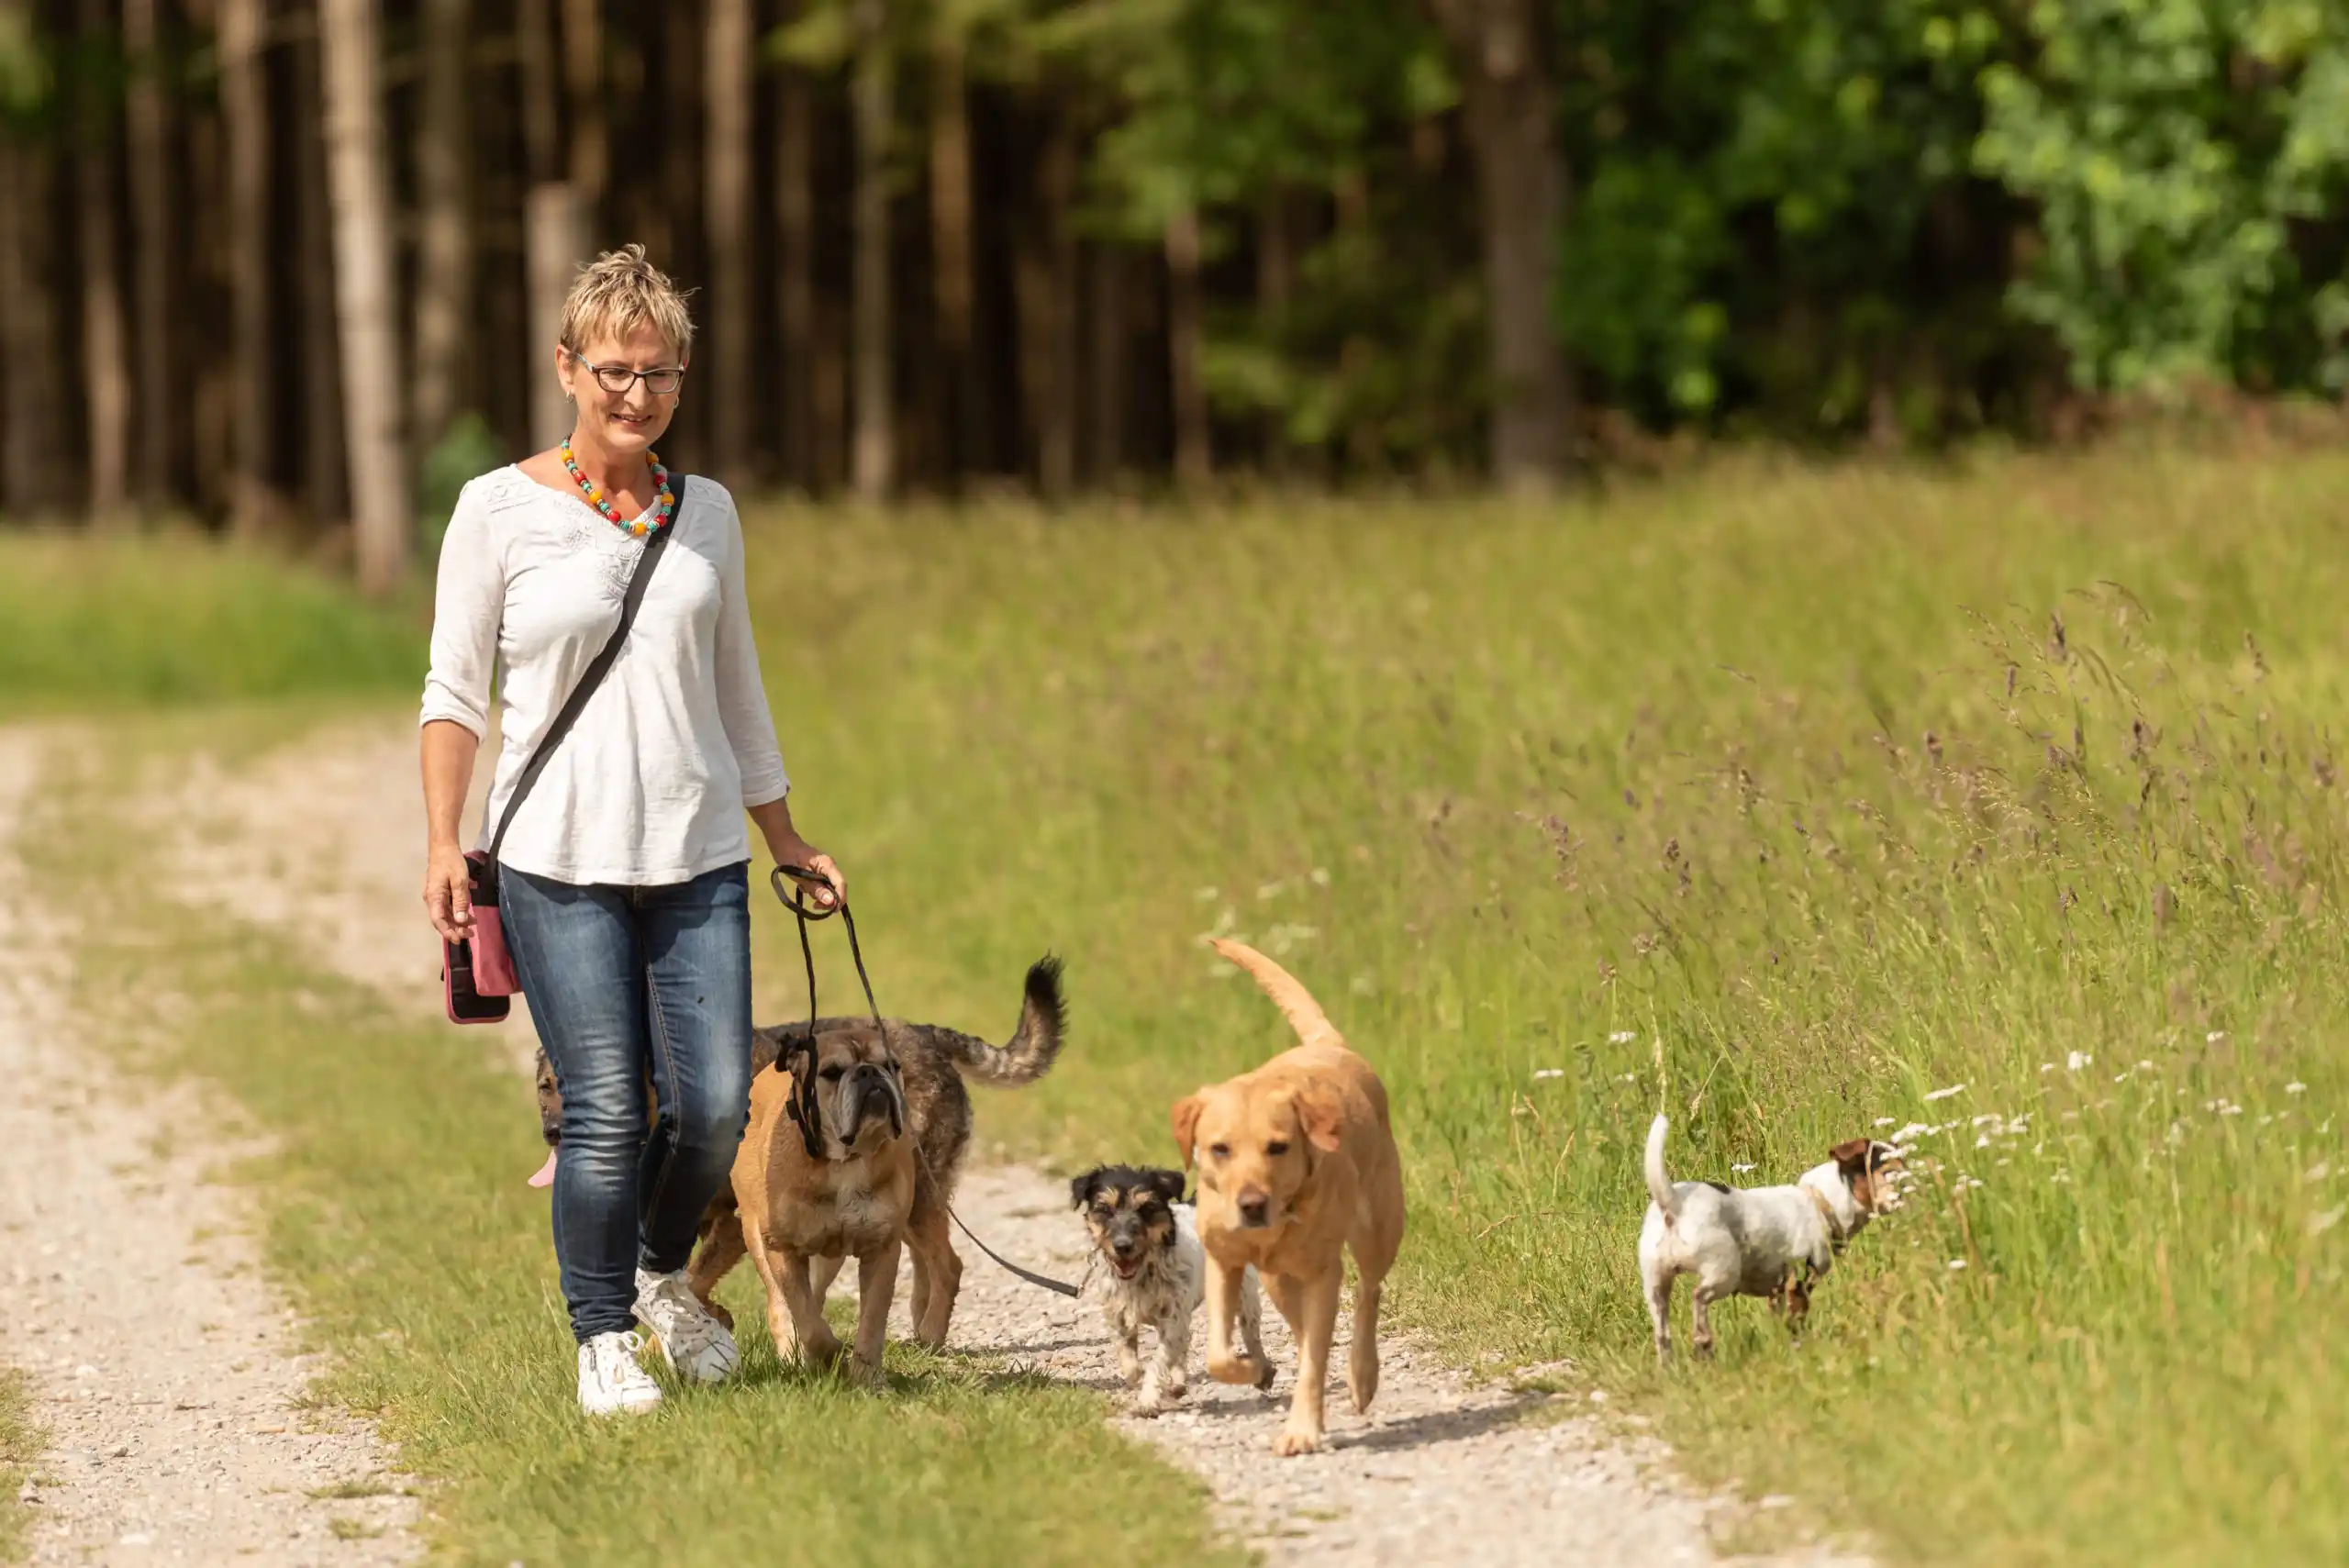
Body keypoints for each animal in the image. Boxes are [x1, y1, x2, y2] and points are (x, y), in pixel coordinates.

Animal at [422, 247, 845, 1418]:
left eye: (650, 372)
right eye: (615, 369)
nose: (554, 1127)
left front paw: (690, 1320)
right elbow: (452, 693)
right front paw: (623, 1347)